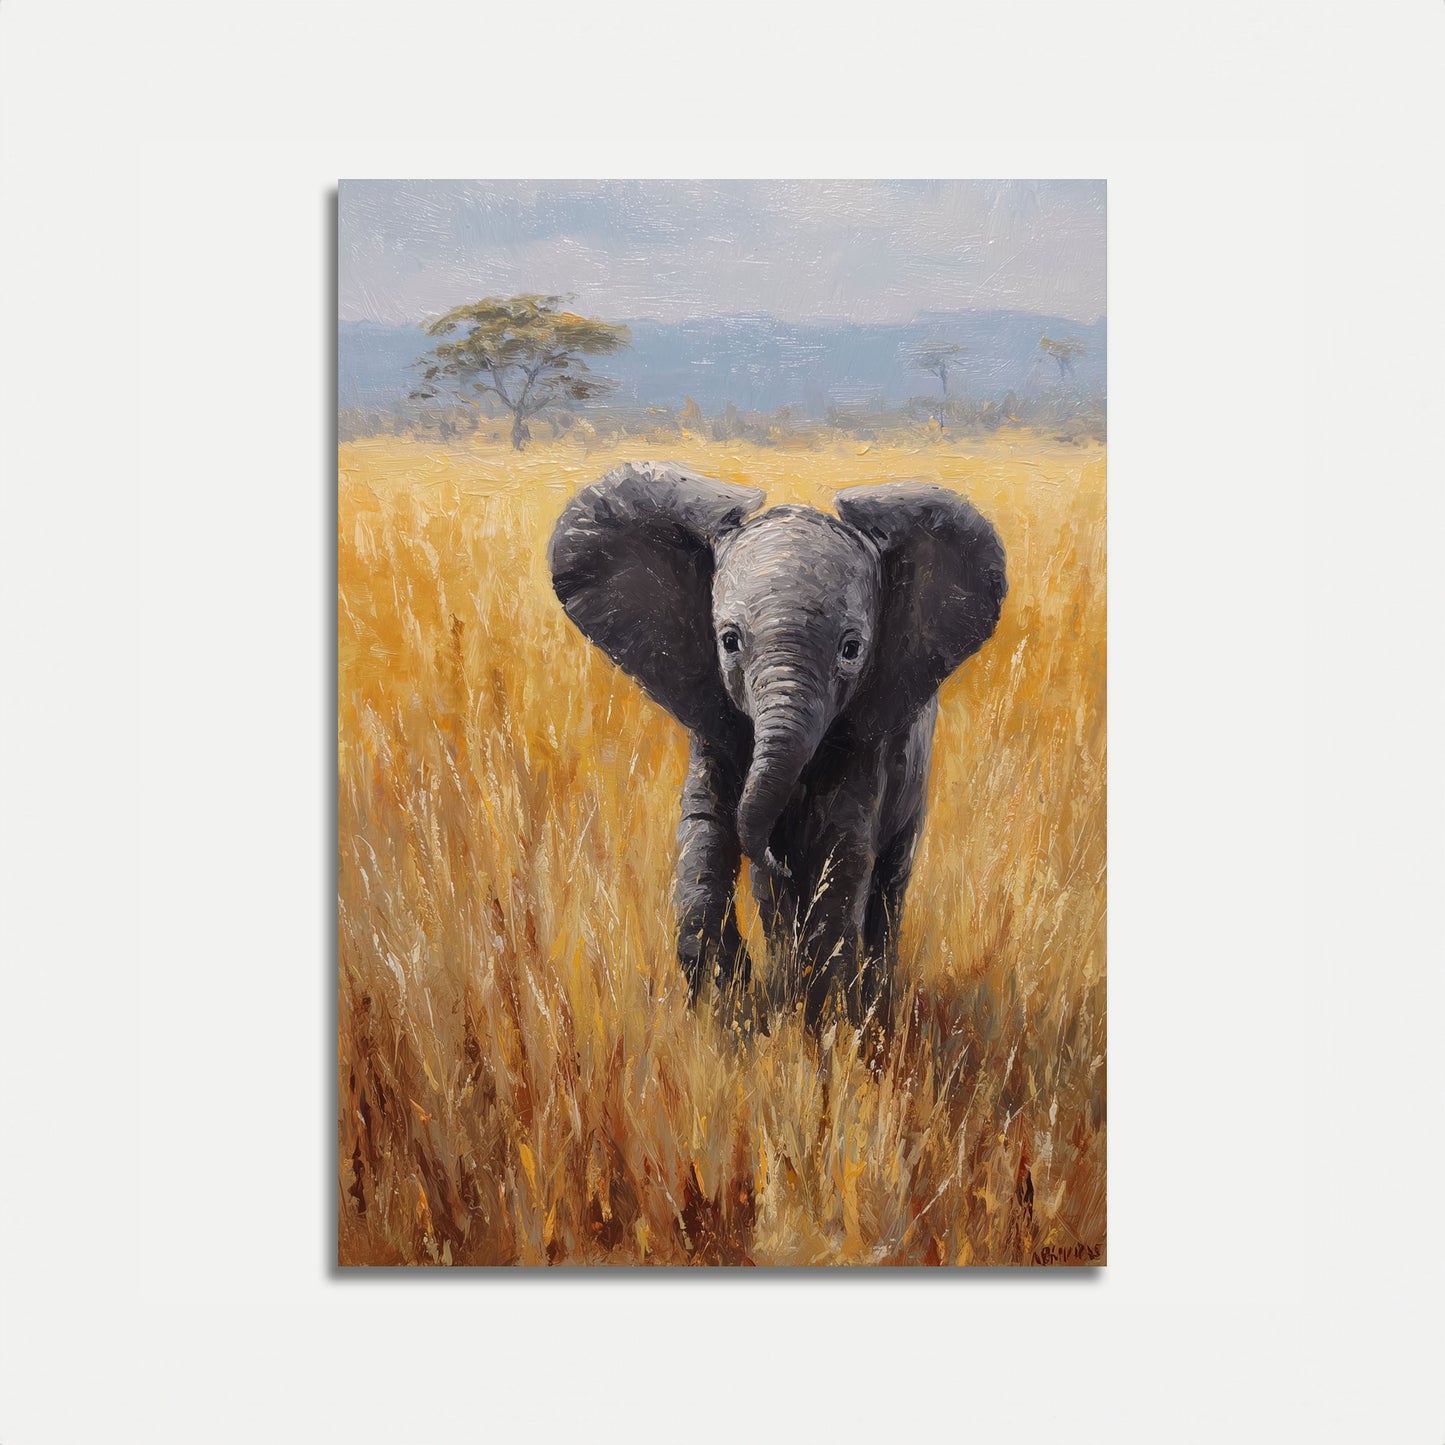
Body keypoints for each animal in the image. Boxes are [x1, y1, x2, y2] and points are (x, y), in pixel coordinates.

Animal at [547, 461, 1007, 1032]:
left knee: (889, 880)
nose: (773, 851)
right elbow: (707, 830)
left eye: (852, 649)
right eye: (728, 641)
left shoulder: (869, 738)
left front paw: (827, 1027)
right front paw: (729, 1011)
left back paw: (871, 1000)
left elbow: (840, 855)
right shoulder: (713, 718)